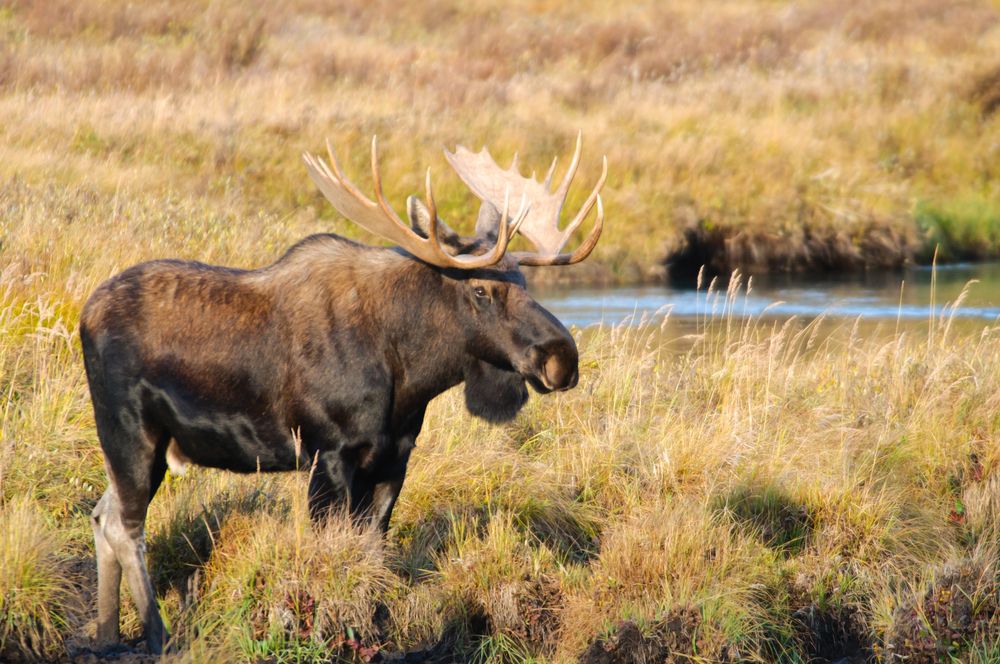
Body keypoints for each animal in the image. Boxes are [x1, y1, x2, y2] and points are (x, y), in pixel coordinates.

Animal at [78, 132, 604, 652]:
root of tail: (84, 315)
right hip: (130, 431)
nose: (562, 357)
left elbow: (374, 552)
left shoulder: (394, 456)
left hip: (149, 445)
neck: (409, 374)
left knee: (102, 516)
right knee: (125, 526)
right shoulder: (329, 452)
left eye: (525, 280)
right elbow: (326, 560)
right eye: (480, 289)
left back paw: (106, 636)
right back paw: (156, 633)